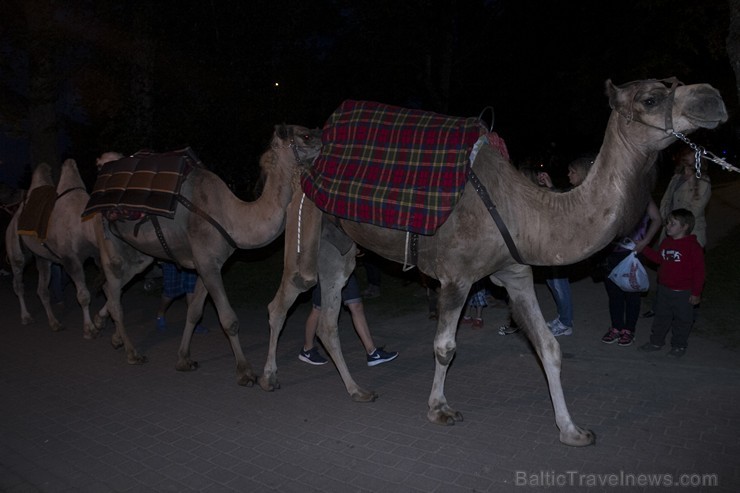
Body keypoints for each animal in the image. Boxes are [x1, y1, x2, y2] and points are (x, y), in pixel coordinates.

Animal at [5, 160, 102, 336]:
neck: (84, 225)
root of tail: (14, 217)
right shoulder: (71, 259)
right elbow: (83, 296)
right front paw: (89, 328)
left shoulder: (97, 254)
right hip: (15, 250)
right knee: (18, 284)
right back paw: (26, 317)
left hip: (42, 257)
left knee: (42, 290)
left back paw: (54, 323)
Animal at [91, 123, 322, 384]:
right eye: (305, 135)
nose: (325, 138)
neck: (232, 217)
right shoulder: (207, 263)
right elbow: (229, 320)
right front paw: (245, 372)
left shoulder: (208, 264)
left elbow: (194, 312)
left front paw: (183, 359)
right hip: (108, 241)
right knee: (115, 295)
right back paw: (132, 353)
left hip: (140, 254)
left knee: (114, 286)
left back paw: (106, 331)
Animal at [260, 78, 728, 446]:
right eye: (651, 98)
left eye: (672, 82)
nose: (713, 98)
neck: (525, 209)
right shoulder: (456, 278)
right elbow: (445, 347)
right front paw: (439, 408)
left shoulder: (516, 273)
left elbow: (549, 346)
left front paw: (572, 430)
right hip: (305, 225)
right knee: (284, 299)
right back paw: (266, 377)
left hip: (339, 244)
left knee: (328, 315)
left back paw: (358, 390)